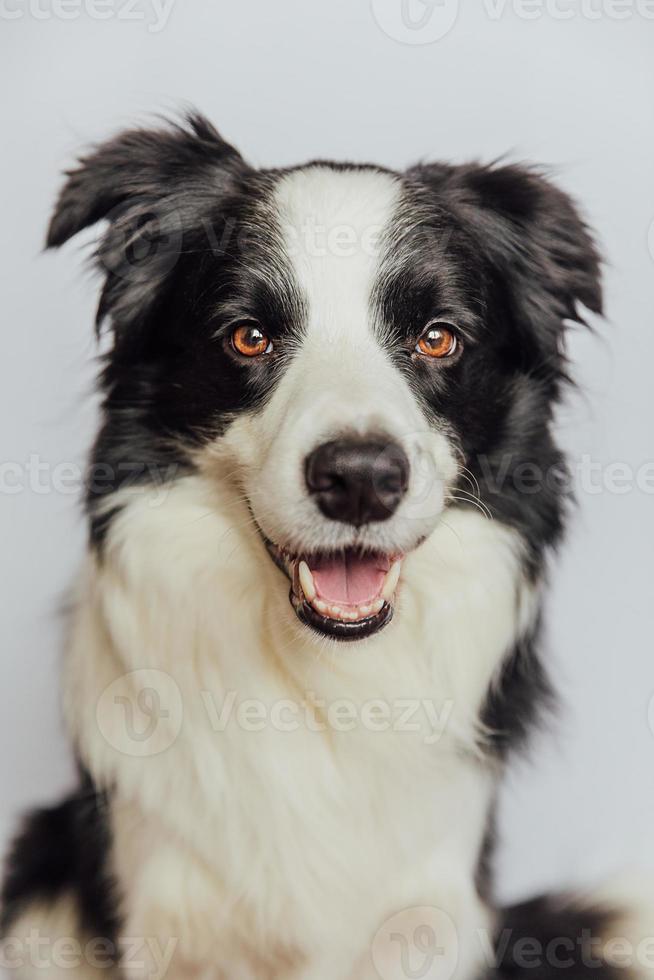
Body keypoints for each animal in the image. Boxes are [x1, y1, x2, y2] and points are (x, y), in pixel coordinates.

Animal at [2, 115, 652, 980]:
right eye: (248, 337)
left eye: (438, 338)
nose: (361, 479)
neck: (324, 681)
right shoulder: (166, 908)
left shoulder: (428, 909)